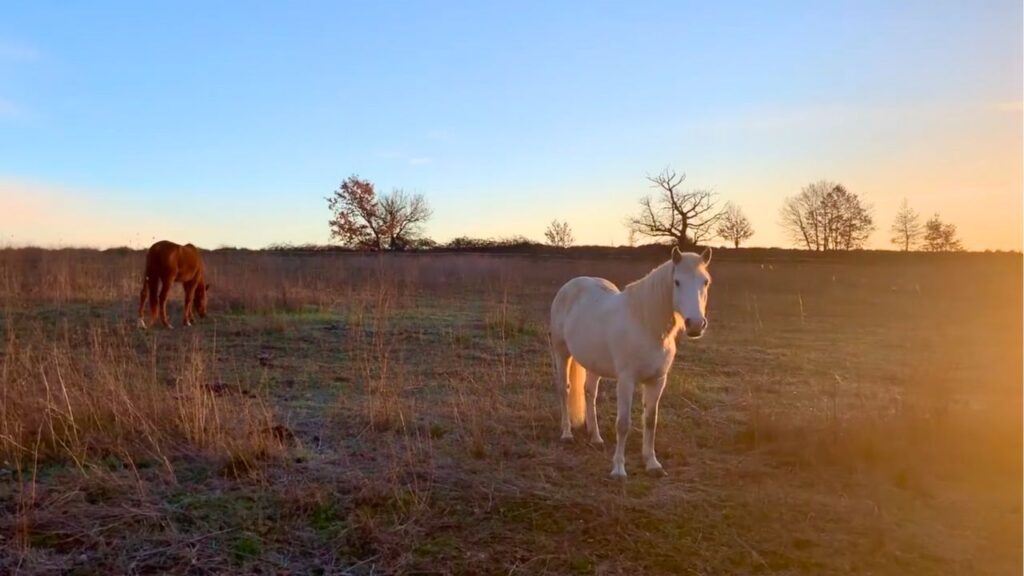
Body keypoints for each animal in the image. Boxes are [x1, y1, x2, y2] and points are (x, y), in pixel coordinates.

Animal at [552, 245, 712, 475]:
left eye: (705, 281)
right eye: (677, 282)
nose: (696, 324)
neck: (646, 325)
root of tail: (571, 285)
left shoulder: (657, 380)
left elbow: (650, 421)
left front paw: (652, 464)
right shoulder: (626, 380)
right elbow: (623, 423)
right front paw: (619, 469)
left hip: (593, 363)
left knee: (589, 393)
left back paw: (596, 437)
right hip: (561, 352)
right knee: (564, 389)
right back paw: (566, 434)